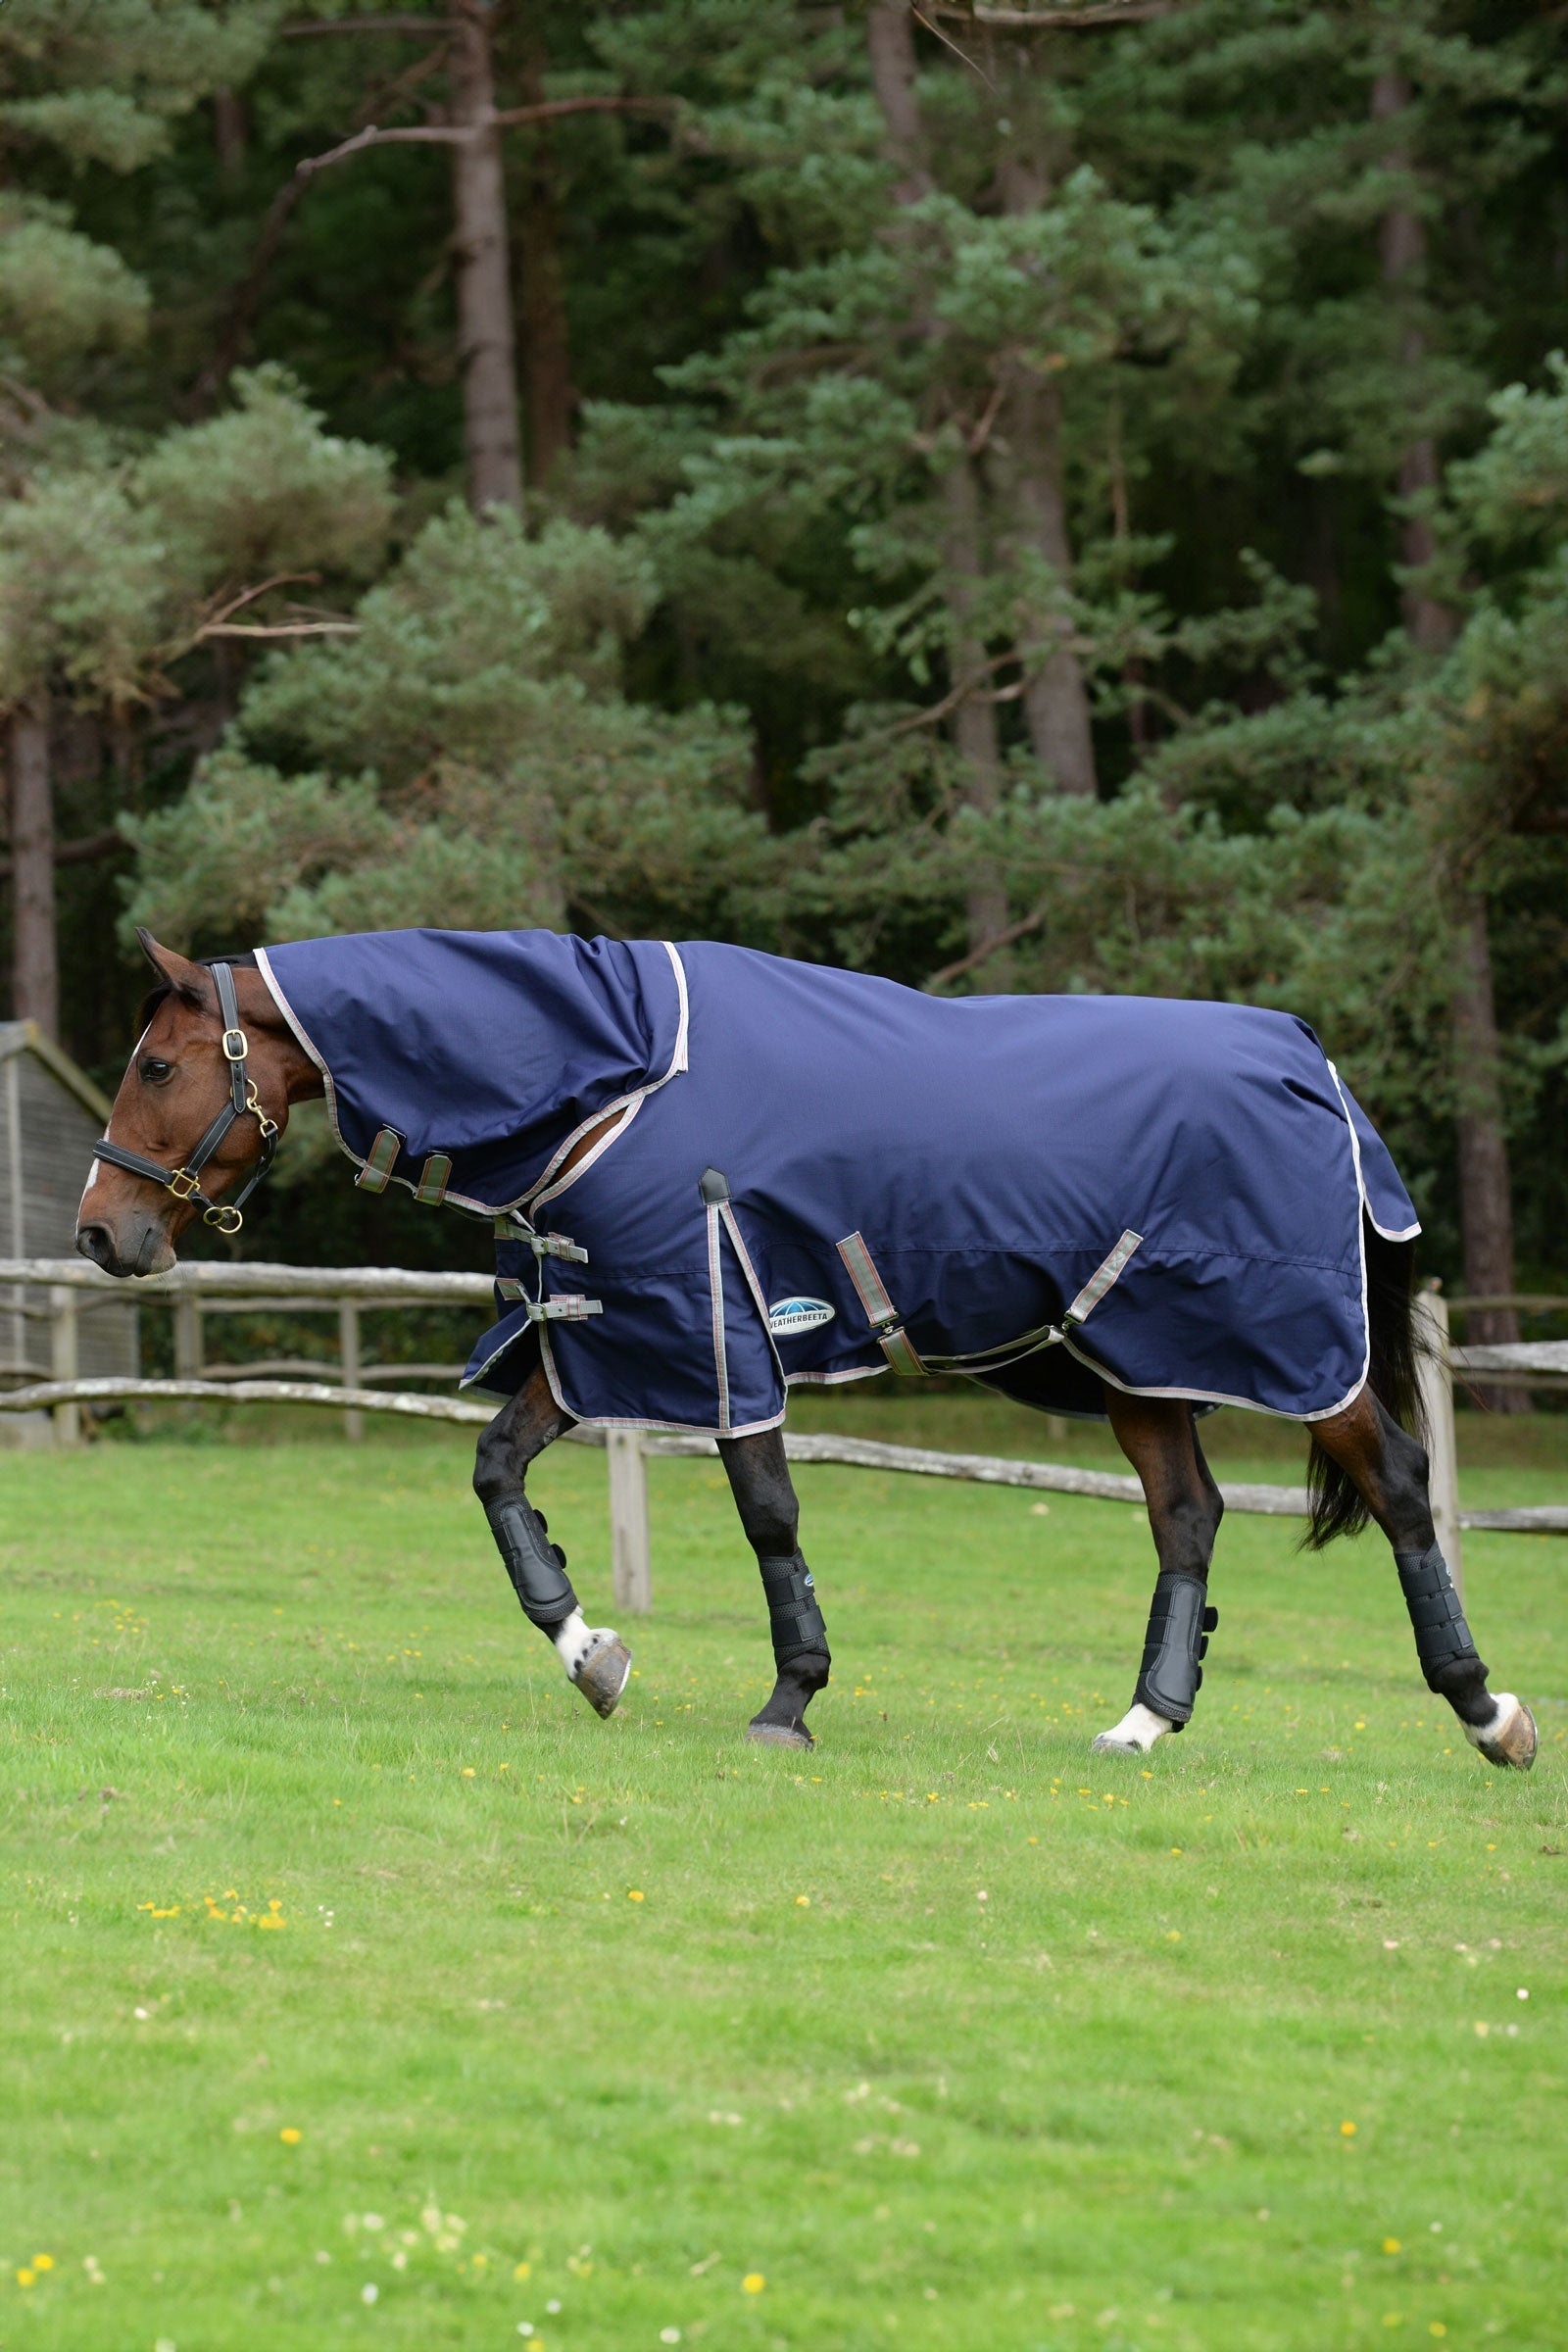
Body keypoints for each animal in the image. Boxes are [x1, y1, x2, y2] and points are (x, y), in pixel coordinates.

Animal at [75, 927, 1536, 1773]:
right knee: (1186, 1517)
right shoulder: (613, 1329)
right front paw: (592, 1656)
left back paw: (1485, 1710)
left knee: (1400, 1485)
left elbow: (769, 1516)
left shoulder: (715, 1328)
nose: (100, 1232)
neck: (615, 1077)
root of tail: (1308, 1059)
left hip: (1282, 1348)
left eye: (156, 1065)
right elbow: (497, 1472)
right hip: (1130, 1358)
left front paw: (789, 1697)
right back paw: (1144, 1722)